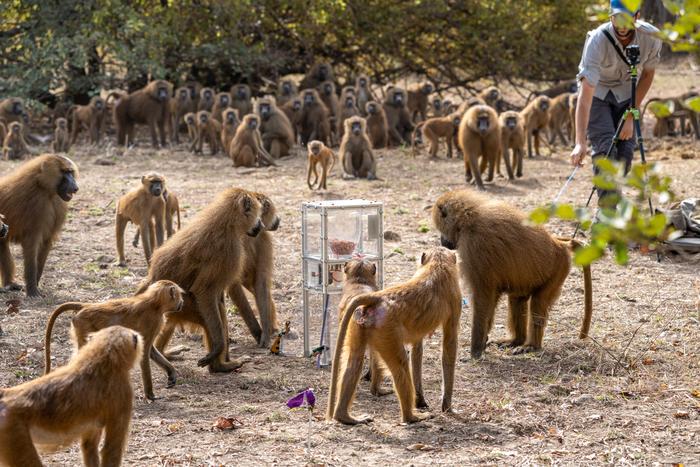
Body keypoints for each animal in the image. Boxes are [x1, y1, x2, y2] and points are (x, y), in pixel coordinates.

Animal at [0, 154, 78, 297]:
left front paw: (35, 284)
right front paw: (32, 291)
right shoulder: (37, 207)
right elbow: (31, 245)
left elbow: (45, 243)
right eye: (64, 172)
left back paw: (10, 284)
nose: (75, 187)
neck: (42, 187)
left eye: (71, 172)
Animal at [44, 280, 184, 401]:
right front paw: (150, 395)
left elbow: (151, 352)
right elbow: (145, 353)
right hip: (83, 325)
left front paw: (171, 373)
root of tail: (86, 306)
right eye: (178, 296)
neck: (155, 304)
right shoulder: (153, 321)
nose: (182, 302)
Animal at [141, 187, 264, 373]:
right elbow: (205, 291)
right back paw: (220, 366)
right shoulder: (229, 251)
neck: (226, 222)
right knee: (212, 315)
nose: (261, 226)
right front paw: (219, 348)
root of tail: (152, 281)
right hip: (184, 306)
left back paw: (165, 353)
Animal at [326, 246, 461, 425]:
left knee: (354, 360)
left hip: (360, 324)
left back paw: (344, 416)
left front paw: (421, 400)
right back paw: (411, 417)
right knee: (400, 364)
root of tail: (377, 298)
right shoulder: (455, 299)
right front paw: (447, 407)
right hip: (387, 330)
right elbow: (449, 347)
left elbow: (417, 349)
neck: (437, 265)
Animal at [433, 189, 593, 358]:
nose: (442, 241)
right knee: (517, 298)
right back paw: (517, 340)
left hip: (559, 269)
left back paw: (532, 345)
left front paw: (475, 350)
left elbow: (483, 296)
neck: (470, 216)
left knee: (538, 302)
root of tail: (559, 244)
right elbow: (492, 296)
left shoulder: (474, 245)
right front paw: (483, 341)